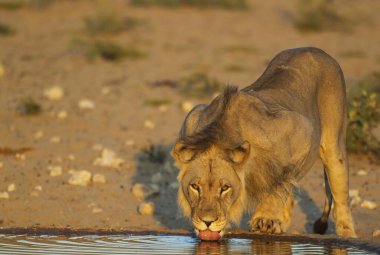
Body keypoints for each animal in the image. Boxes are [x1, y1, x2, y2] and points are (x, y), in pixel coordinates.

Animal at [172, 46, 356, 239]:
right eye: (194, 187)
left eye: (225, 188)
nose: (207, 222)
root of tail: (314, 49)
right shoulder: (192, 117)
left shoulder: (302, 131)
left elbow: (280, 184)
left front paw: (265, 219)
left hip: (334, 146)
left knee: (340, 194)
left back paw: (347, 234)